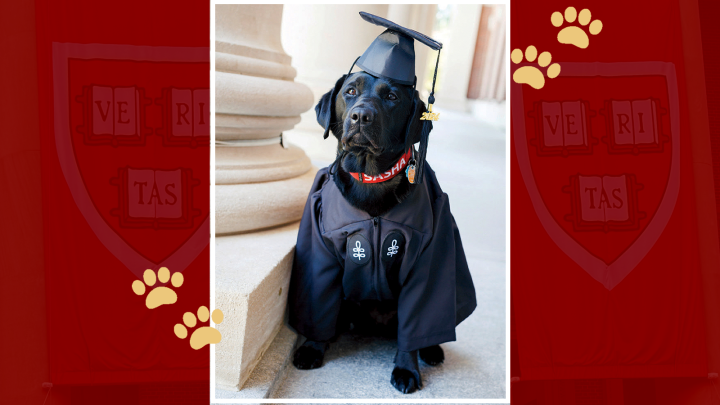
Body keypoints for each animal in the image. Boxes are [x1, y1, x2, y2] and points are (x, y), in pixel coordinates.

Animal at [292, 72, 444, 392]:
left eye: (392, 97)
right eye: (350, 91)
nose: (361, 116)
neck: (371, 177)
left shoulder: (427, 252)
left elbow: (417, 316)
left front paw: (406, 369)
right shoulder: (320, 248)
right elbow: (318, 302)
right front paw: (312, 347)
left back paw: (432, 349)